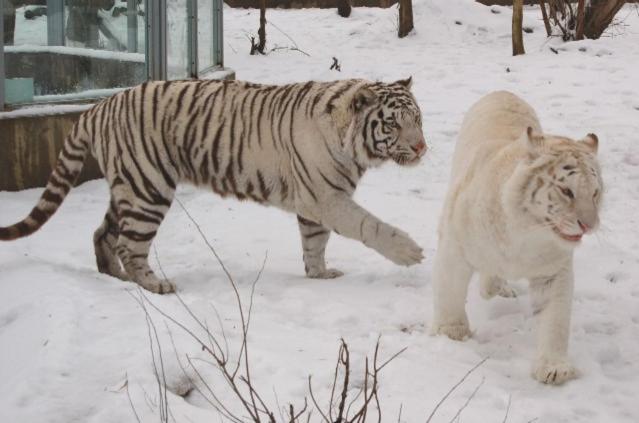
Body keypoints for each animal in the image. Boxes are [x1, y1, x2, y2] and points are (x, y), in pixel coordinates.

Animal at [2, 77, 430, 294]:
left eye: (418, 119)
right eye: (392, 123)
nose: (421, 147)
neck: (352, 144)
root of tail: (97, 107)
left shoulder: (315, 202)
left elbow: (314, 242)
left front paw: (319, 275)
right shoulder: (325, 197)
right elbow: (368, 225)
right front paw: (410, 251)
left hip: (129, 185)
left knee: (103, 234)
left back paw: (116, 278)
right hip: (148, 187)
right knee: (129, 243)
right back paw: (155, 285)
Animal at [432, 91, 604, 386]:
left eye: (594, 193)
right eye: (567, 191)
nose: (588, 225)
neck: (526, 234)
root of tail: (503, 91)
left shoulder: (553, 272)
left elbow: (555, 320)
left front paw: (554, 367)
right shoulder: (454, 246)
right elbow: (449, 291)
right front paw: (451, 332)